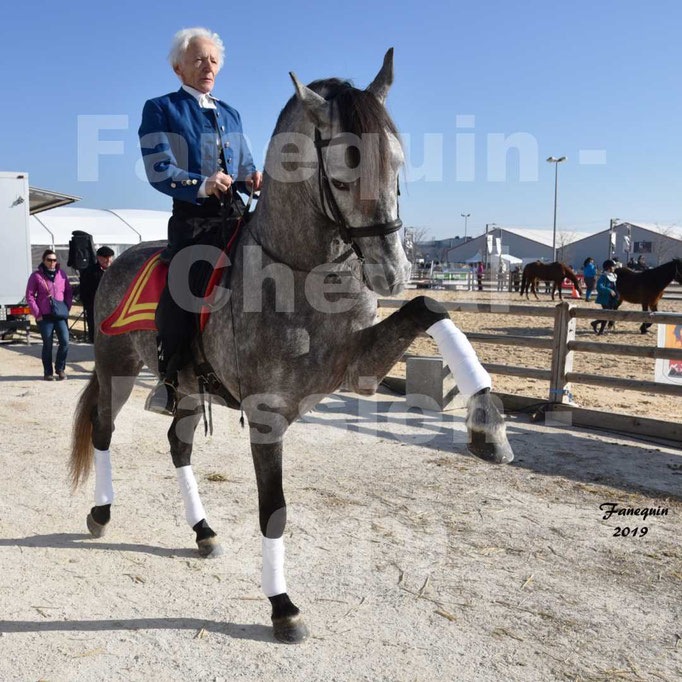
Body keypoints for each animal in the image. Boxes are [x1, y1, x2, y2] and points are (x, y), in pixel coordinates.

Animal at [69, 50, 513, 644]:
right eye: (345, 163)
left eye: (398, 159)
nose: (392, 271)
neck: (301, 273)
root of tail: (117, 260)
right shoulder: (266, 413)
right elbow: (274, 509)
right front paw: (282, 606)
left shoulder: (359, 369)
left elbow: (430, 307)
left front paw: (488, 426)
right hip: (116, 367)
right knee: (103, 432)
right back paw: (101, 514)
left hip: (184, 386)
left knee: (178, 446)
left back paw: (203, 530)